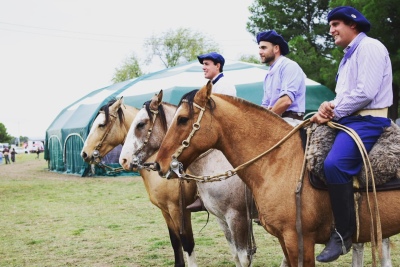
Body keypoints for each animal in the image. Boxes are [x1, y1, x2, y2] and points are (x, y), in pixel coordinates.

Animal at [80, 99, 199, 267]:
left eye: (101, 125)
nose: (84, 154)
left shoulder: (180, 210)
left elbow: (188, 244)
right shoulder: (166, 211)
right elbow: (175, 241)